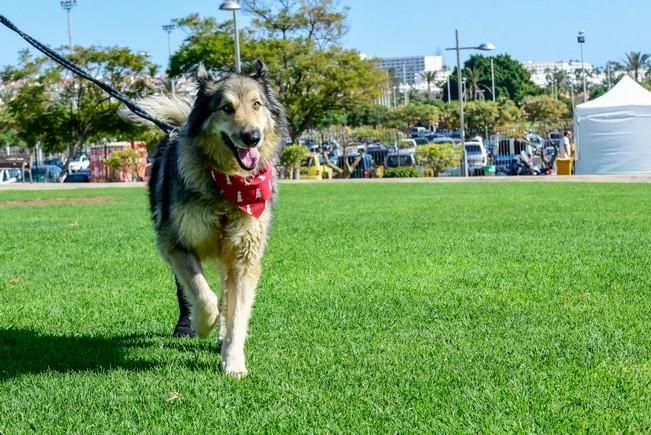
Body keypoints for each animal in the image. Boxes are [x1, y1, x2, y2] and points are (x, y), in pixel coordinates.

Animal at [132, 62, 286, 378]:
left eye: (257, 104)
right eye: (226, 108)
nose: (252, 137)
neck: (229, 185)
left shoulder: (244, 256)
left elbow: (237, 312)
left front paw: (234, 361)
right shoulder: (176, 244)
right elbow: (204, 297)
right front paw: (202, 325)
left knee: (227, 296)